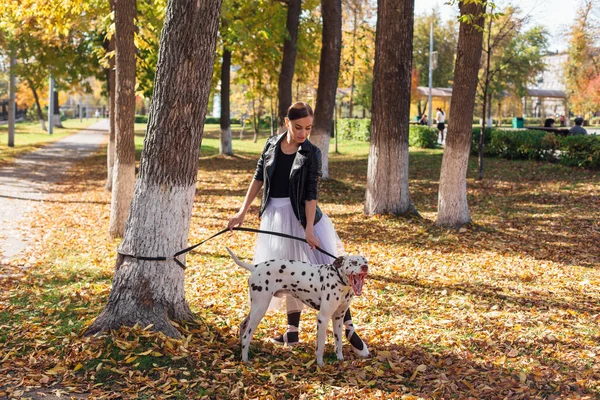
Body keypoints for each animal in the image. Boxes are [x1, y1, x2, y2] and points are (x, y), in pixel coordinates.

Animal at [225, 247, 366, 368]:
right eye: (353, 262)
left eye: (365, 261)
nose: (365, 267)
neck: (338, 279)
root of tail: (255, 267)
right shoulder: (323, 318)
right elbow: (320, 345)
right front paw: (320, 364)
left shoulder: (338, 317)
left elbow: (339, 342)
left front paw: (340, 359)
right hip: (260, 309)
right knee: (246, 336)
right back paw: (245, 360)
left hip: (256, 308)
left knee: (243, 326)